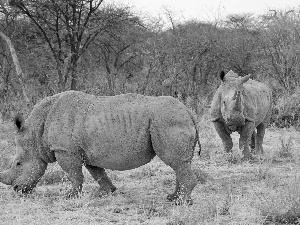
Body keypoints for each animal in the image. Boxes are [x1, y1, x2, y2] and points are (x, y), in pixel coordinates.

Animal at [1, 90, 202, 205]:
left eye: (18, 164)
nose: (17, 190)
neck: (36, 134)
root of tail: (189, 112)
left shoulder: (65, 150)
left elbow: (73, 174)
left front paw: (69, 197)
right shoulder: (87, 152)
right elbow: (97, 172)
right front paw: (106, 192)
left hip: (168, 121)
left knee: (176, 162)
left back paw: (180, 202)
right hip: (170, 120)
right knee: (179, 164)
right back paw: (173, 197)